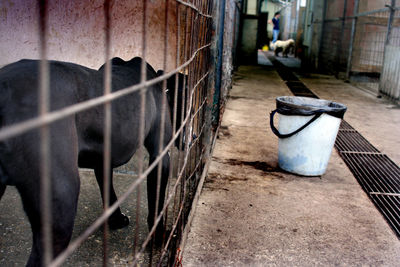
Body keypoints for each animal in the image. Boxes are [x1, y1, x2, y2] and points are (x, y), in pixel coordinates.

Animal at [0, 57, 185, 266]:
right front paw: (159, 237)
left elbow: (109, 192)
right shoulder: (159, 155)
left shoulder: (103, 158)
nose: (194, 136)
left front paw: (116, 220)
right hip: (61, 205)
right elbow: (156, 205)